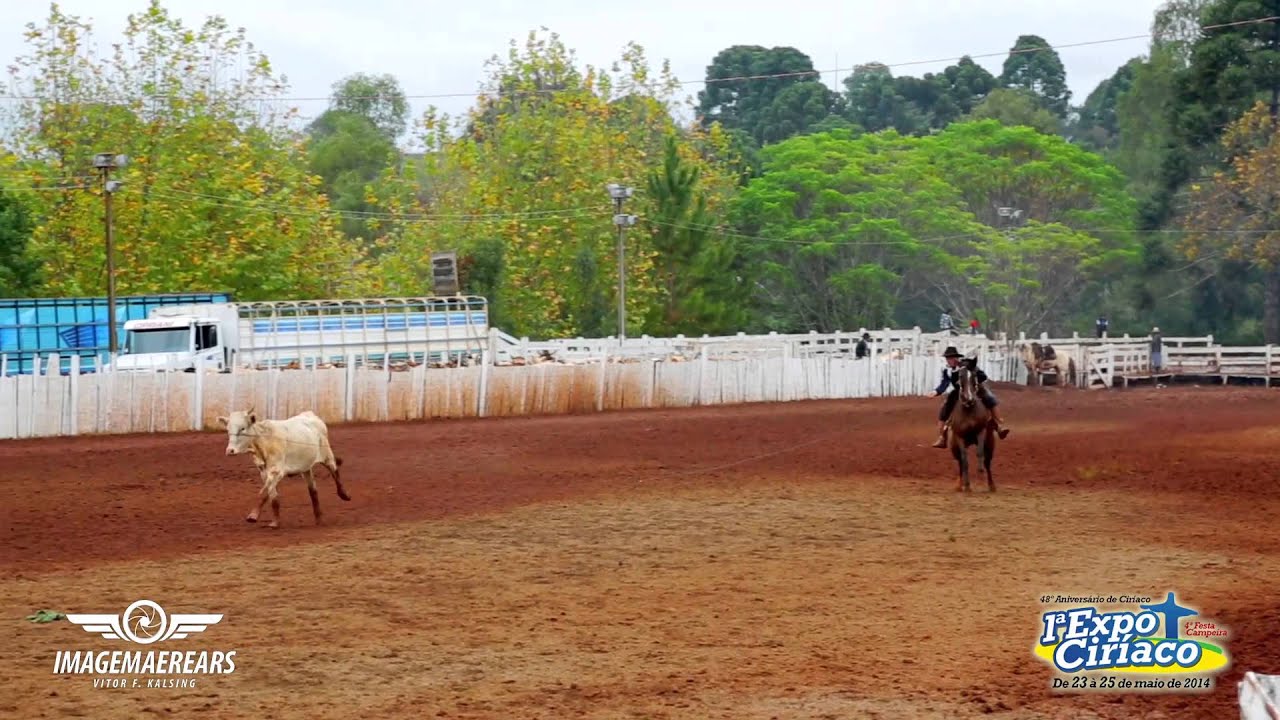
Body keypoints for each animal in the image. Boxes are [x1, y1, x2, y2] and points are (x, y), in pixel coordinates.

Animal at [217, 404, 350, 527]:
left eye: (242, 428)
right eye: (228, 430)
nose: (230, 451)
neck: (264, 441)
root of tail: (310, 415)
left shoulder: (277, 471)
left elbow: (265, 492)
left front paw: (253, 516)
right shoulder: (263, 472)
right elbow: (271, 494)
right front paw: (275, 522)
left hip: (327, 455)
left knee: (335, 471)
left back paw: (344, 495)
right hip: (306, 468)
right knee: (313, 491)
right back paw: (319, 519)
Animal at [947, 361, 993, 489]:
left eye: (974, 376)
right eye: (960, 376)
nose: (969, 398)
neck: (968, 410)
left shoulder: (980, 431)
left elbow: (979, 452)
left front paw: (980, 470)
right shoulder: (960, 437)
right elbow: (964, 461)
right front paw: (966, 485)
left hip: (990, 443)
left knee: (988, 462)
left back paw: (991, 485)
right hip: (954, 448)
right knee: (960, 463)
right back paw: (961, 484)